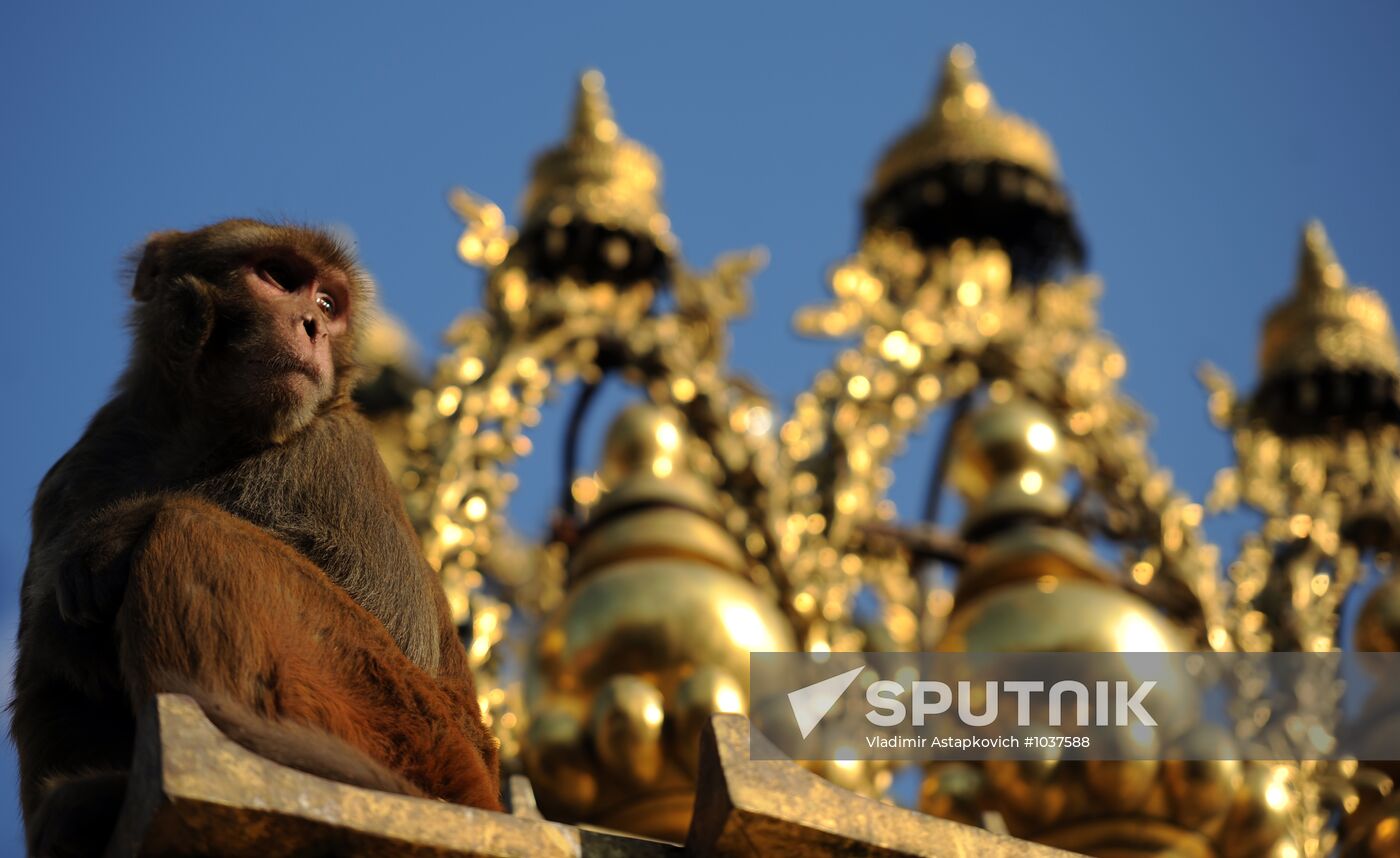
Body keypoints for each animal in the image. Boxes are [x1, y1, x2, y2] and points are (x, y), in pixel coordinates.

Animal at [9, 222, 504, 856]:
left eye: (327, 304)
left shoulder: (332, 446)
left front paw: (112, 533)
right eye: (279, 277)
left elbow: (394, 616)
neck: (204, 433)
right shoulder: (74, 473)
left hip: (415, 732)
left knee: (194, 530)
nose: (312, 325)